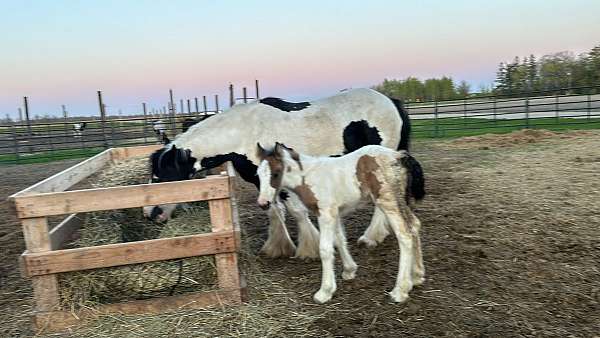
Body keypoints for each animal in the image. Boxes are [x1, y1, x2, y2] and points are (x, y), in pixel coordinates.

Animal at [143, 88, 412, 258]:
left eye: (161, 177)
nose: (150, 214)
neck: (243, 133)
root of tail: (390, 101)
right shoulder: (260, 181)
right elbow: (275, 211)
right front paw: (278, 247)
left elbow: (295, 211)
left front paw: (309, 248)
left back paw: (371, 237)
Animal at [255, 143, 424, 304]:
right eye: (258, 175)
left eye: (276, 173)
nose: (263, 203)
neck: (308, 176)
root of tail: (399, 156)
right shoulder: (334, 213)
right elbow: (339, 240)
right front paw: (349, 270)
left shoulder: (325, 213)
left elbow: (325, 249)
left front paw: (324, 292)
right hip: (401, 201)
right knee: (414, 225)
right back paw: (417, 276)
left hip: (389, 202)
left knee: (405, 234)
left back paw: (400, 291)